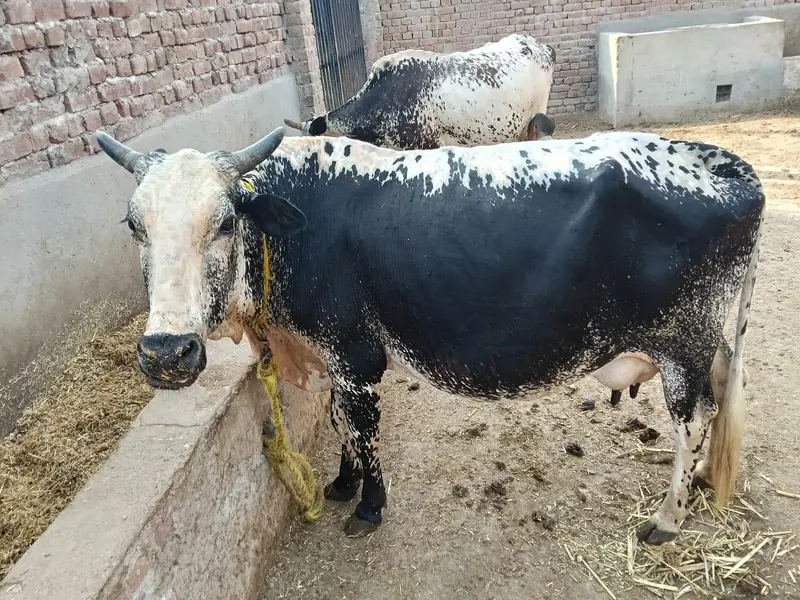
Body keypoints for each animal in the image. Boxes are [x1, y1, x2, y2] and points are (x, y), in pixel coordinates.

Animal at [95, 126, 763, 547]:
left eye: (226, 221)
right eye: (133, 226)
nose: (166, 353)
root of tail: (726, 165)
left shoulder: (356, 356)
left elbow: (362, 429)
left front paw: (368, 505)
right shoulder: (331, 356)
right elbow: (340, 422)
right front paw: (340, 485)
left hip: (681, 344)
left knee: (695, 420)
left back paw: (668, 518)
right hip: (706, 342)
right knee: (722, 395)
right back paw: (706, 480)